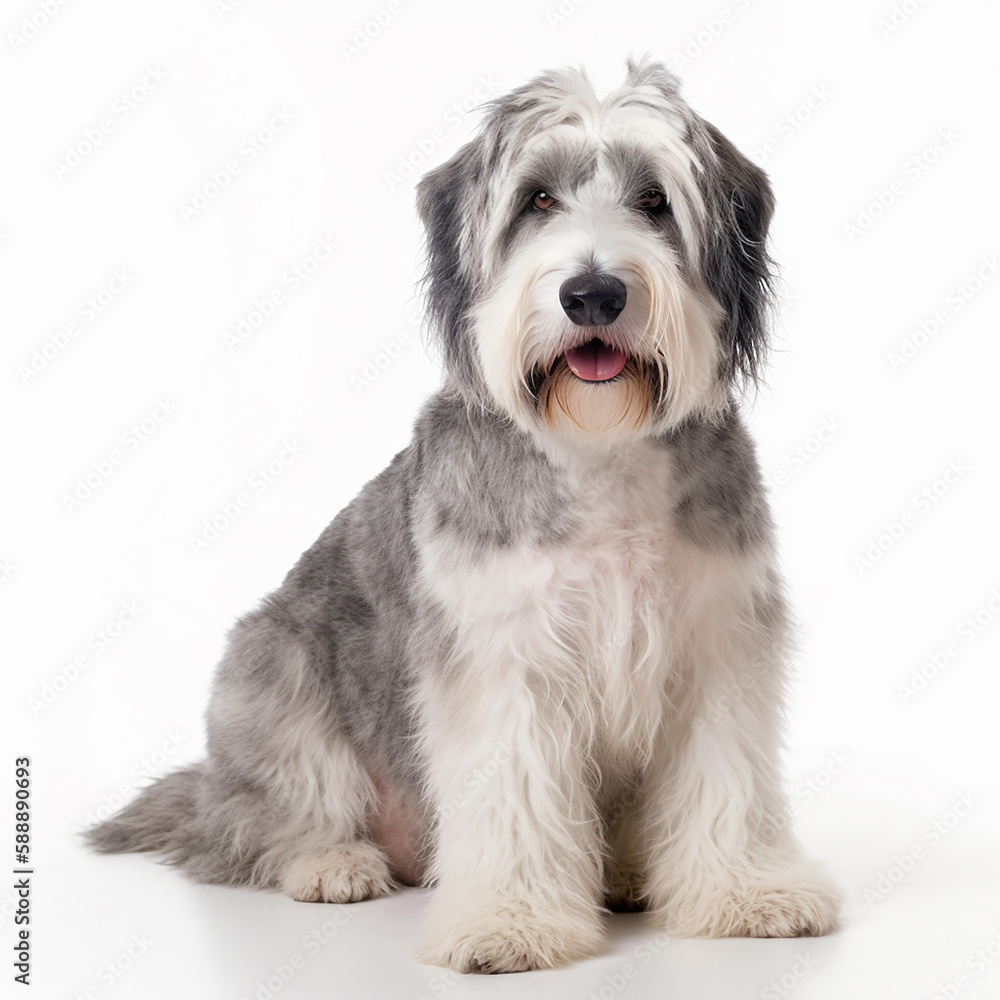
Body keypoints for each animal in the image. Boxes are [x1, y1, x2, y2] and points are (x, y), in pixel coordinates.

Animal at [90, 58, 844, 972]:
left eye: (655, 200)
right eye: (538, 200)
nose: (593, 293)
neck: (598, 450)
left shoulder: (717, 643)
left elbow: (723, 780)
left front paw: (745, 893)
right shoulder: (503, 659)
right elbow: (514, 791)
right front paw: (509, 922)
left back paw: (627, 872)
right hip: (272, 670)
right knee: (246, 828)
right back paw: (330, 861)